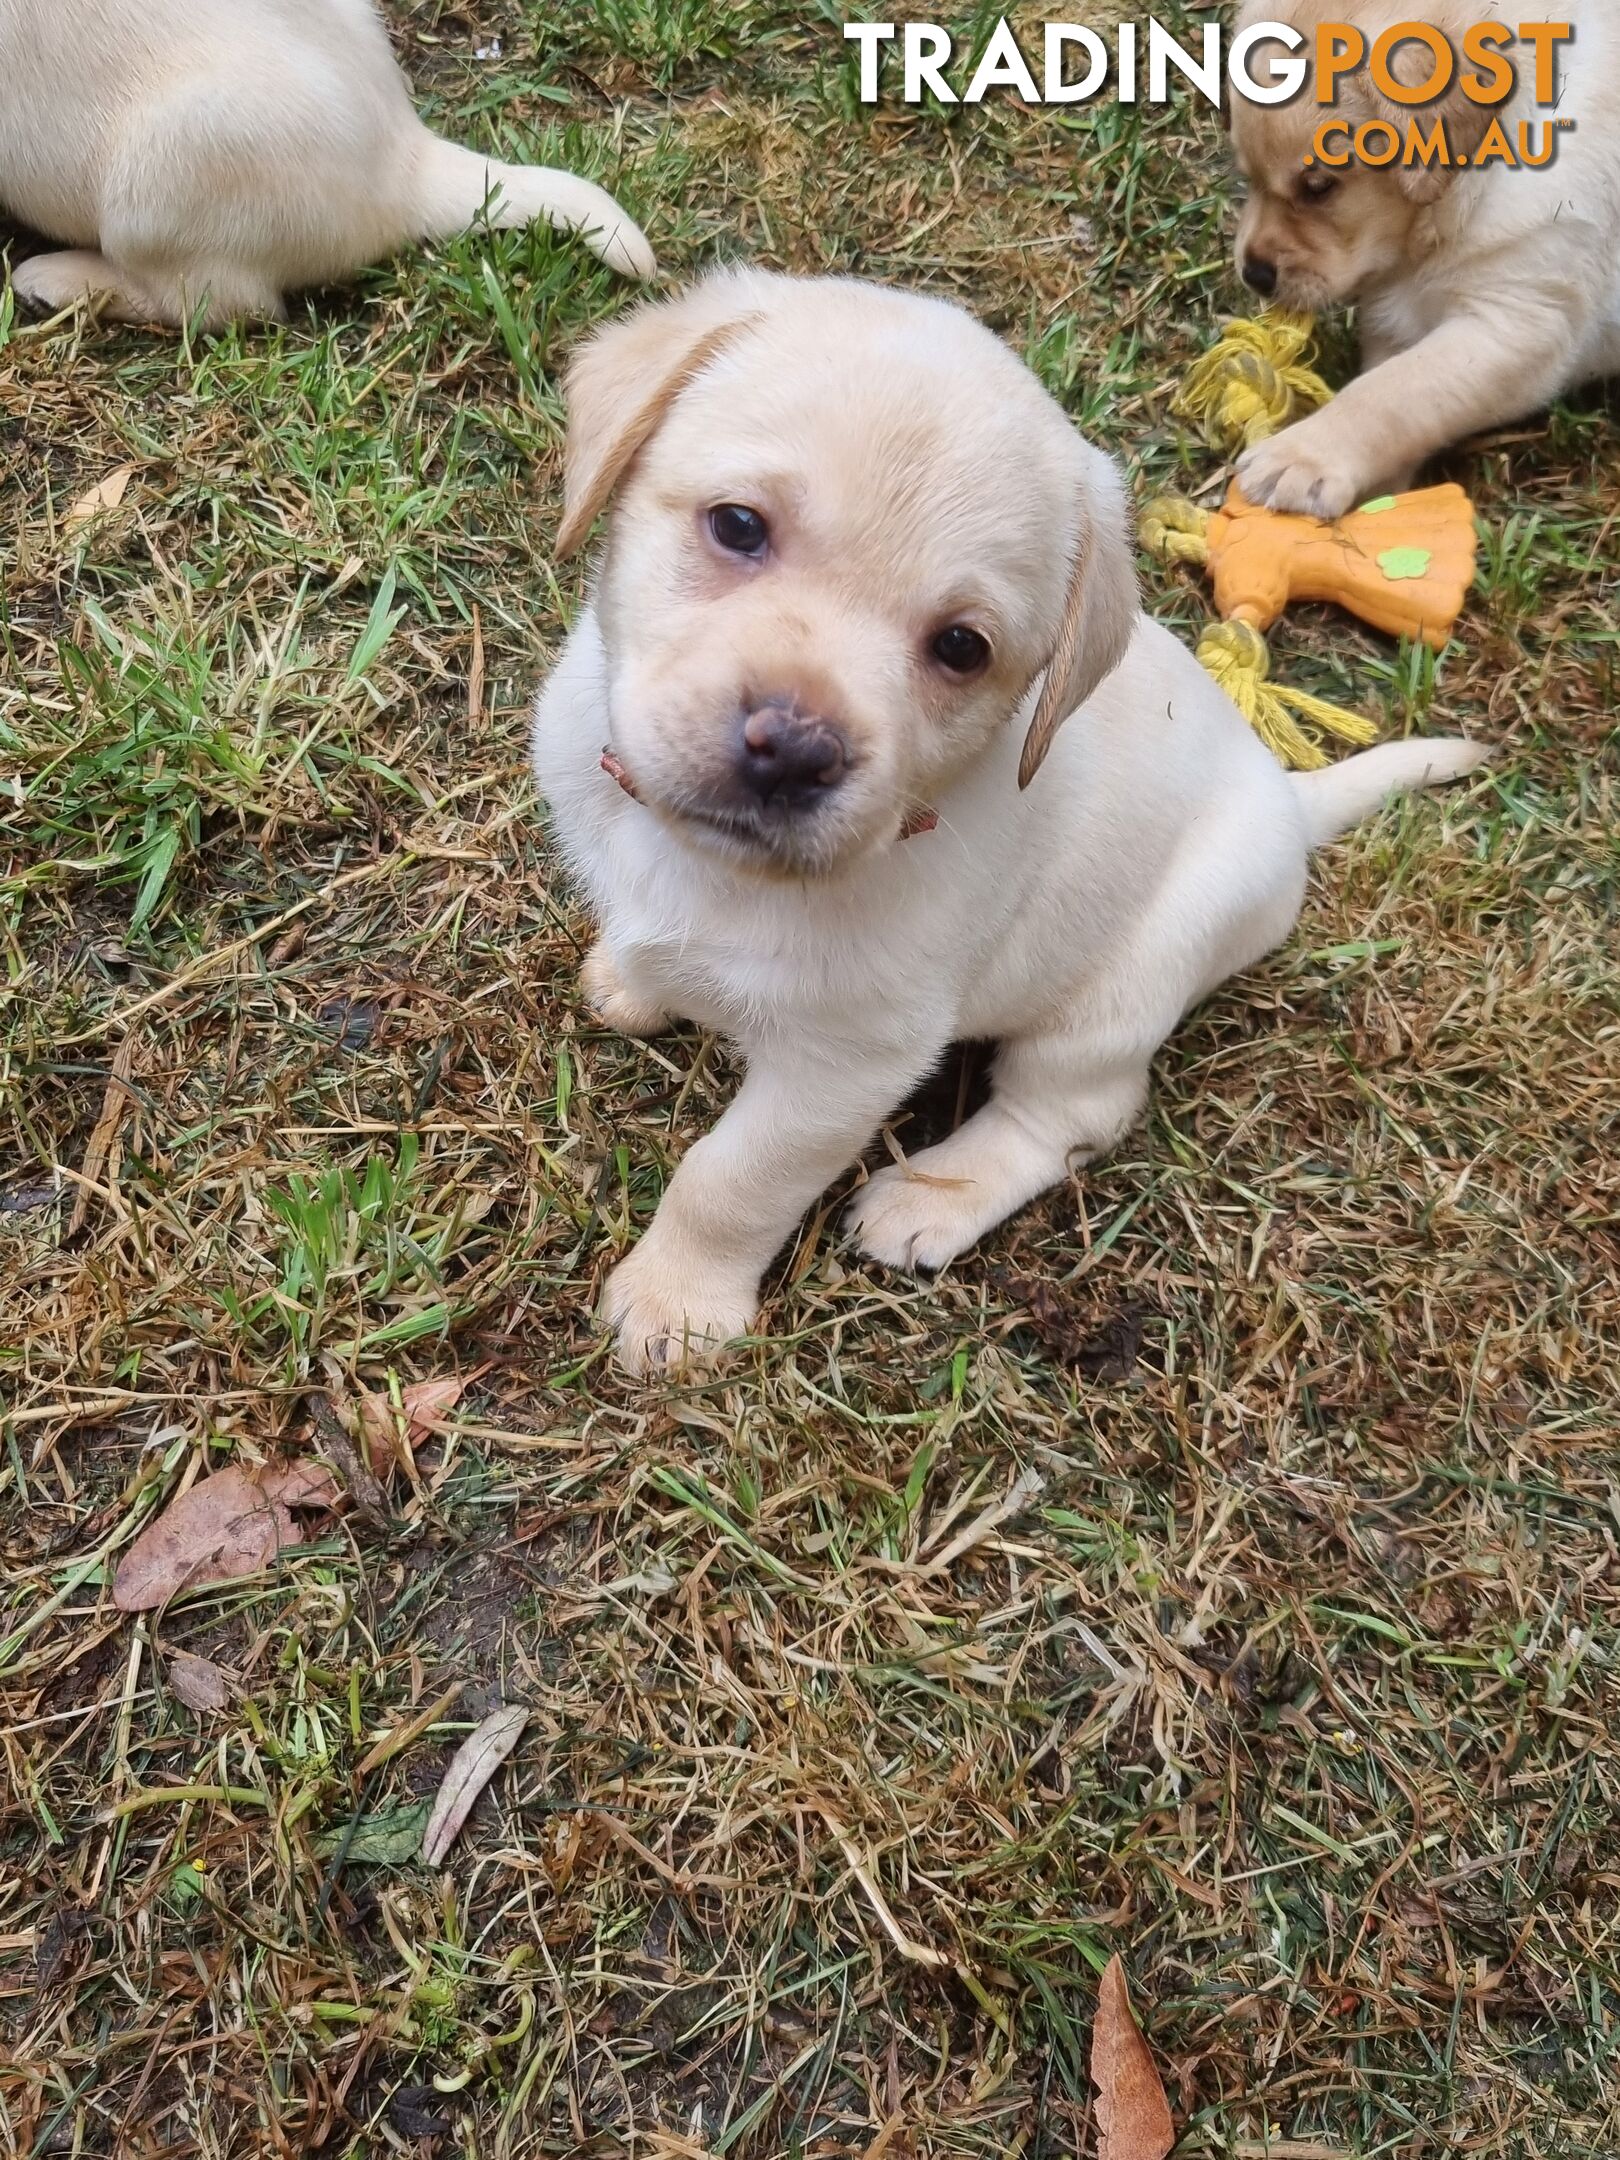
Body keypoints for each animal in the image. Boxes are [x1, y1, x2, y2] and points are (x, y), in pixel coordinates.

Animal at [535, 270, 1494, 1373]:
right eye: (737, 525)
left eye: (961, 647)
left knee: (1072, 1115)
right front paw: (637, 979)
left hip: (1122, 990)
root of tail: (1287, 800)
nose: (795, 748)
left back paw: (931, 1197)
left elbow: (730, 1179)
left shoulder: (844, 1062)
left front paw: (677, 1305)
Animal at [1235, 0, 1615, 518]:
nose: (1253, 275)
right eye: (1246, 175)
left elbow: (1395, 391)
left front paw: (1300, 457)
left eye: (1317, 187)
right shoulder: (1395, 325)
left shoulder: (1520, 322)